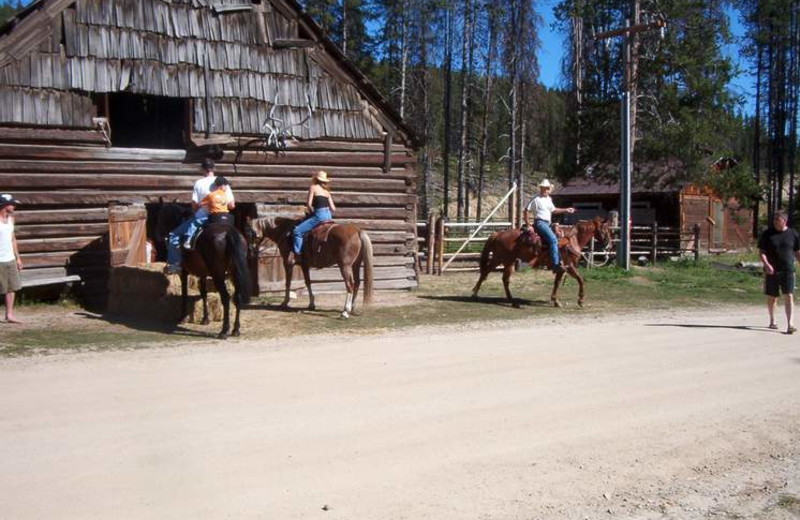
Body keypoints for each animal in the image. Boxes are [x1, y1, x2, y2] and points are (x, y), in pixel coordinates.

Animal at [151, 201, 248, 340]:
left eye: (160, 216)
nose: (157, 236)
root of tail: (228, 232)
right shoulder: (202, 273)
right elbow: (203, 293)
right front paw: (205, 319)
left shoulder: (184, 272)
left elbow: (184, 293)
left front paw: (183, 316)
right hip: (234, 272)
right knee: (237, 297)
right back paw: (235, 329)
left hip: (218, 274)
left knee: (225, 297)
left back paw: (224, 330)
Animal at [468, 216, 612, 306]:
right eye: (605, 229)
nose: (609, 245)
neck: (573, 239)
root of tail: (498, 234)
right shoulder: (569, 266)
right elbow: (581, 280)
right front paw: (580, 300)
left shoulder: (561, 268)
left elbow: (557, 283)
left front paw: (556, 301)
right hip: (500, 259)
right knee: (487, 273)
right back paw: (475, 294)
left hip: (508, 261)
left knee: (502, 278)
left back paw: (510, 299)